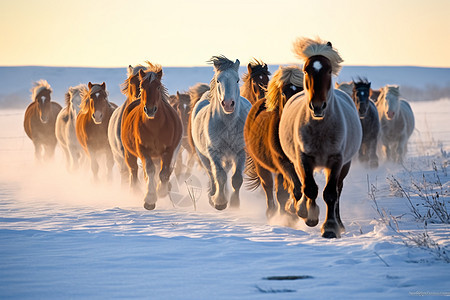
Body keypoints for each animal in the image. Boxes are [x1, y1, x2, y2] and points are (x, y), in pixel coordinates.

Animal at [121, 64, 183, 210]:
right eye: (142, 86)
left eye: (158, 86)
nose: (149, 109)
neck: (155, 127)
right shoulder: (143, 150)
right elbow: (149, 171)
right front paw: (149, 199)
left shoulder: (168, 151)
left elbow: (164, 173)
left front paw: (161, 191)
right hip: (129, 154)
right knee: (134, 170)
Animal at [189, 56, 253, 211]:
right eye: (218, 80)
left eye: (237, 80)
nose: (228, 104)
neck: (229, 124)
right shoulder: (214, 152)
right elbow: (220, 176)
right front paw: (219, 202)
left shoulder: (240, 152)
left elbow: (236, 179)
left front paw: (234, 204)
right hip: (204, 156)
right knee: (212, 175)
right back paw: (212, 196)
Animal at [244, 65, 304, 217]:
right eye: (283, 93)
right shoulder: (282, 163)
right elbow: (294, 188)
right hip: (261, 164)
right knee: (268, 187)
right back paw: (272, 212)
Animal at [278, 37, 362, 238]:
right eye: (306, 70)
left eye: (329, 70)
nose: (317, 106)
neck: (320, 128)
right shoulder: (303, 159)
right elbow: (309, 188)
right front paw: (309, 216)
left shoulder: (336, 160)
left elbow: (330, 193)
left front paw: (330, 228)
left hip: (345, 165)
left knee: (338, 190)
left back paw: (339, 224)